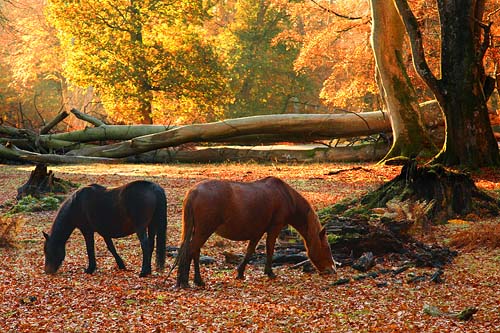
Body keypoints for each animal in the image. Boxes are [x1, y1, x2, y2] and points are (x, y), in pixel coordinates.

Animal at [176, 175, 336, 286]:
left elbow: (250, 251)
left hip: (199, 231)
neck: (285, 195)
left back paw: (195, 280)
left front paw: (240, 273)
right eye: (327, 248)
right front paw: (270, 272)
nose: (332, 270)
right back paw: (186, 282)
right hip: (204, 231)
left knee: (194, 252)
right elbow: (270, 249)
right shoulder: (274, 227)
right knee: (191, 251)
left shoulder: (258, 232)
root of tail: (194, 192)